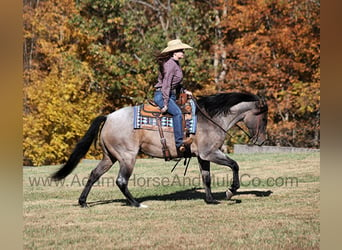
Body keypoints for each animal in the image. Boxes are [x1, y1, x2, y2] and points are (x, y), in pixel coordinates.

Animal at [51, 92, 268, 207]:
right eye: (264, 118)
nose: (262, 140)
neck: (211, 118)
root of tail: (109, 116)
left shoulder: (203, 156)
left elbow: (206, 177)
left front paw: (210, 200)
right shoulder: (210, 153)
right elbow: (235, 165)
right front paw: (231, 191)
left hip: (109, 157)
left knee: (94, 174)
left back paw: (83, 201)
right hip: (127, 157)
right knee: (121, 181)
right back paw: (136, 203)